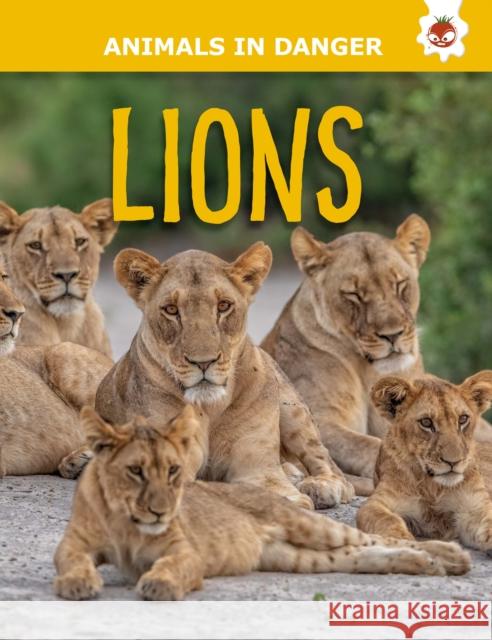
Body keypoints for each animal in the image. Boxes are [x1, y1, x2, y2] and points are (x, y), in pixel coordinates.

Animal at [54, 405, 470, 600]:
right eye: (136, 471)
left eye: (173, 470)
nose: (161, 509)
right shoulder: (72, 546)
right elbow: (71, 562)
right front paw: (77, 583)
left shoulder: (186, 552)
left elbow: (173, 566)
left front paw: (158, 584)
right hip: (295, 557)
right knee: (363, 554)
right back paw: (428, 564)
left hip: (306, 525)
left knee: (379, 539)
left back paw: (449, 556)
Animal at [96, 242, 356, 510]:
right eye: (171, 310)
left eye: (223, 306)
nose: (203, 362)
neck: (210, 407)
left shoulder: (258, 469)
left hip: (293, 410)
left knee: (334, 468)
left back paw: (322, 486)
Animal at [357, 372, 492, 553]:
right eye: (426, 422)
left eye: (463, 419)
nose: (453, 461)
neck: (433, 487)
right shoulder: (377, 502)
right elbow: (386, 519)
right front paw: (403, 541)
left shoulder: (475, 507)